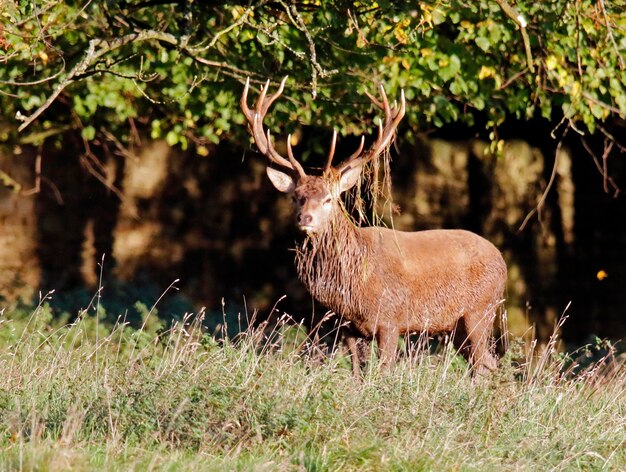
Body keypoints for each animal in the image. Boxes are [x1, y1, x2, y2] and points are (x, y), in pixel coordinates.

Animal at [240, 76, 508, 376]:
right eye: (296, 197)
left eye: (329, 199)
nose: (304, 219)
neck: (353, 282)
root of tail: (502, 261)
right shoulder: (347, 326)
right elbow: (357, 372)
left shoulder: (390, 318)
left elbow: (383, 371)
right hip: (457, 325)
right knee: (487, 363)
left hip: (481, 310)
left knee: (483, 364)